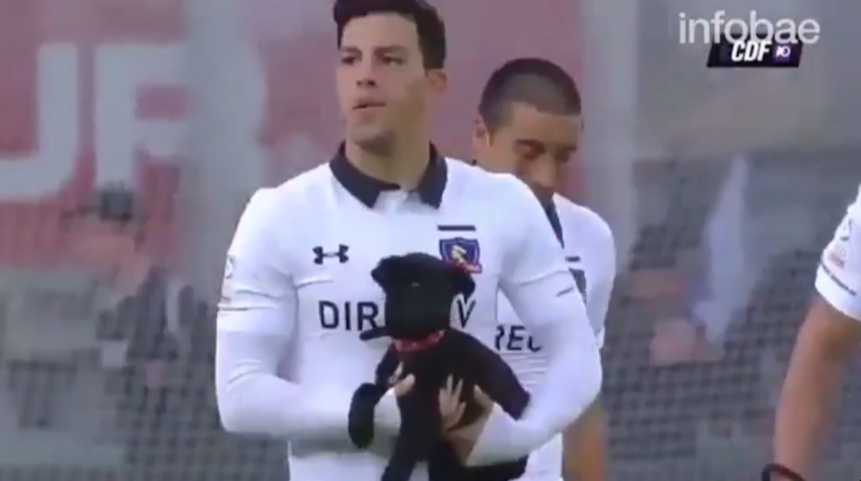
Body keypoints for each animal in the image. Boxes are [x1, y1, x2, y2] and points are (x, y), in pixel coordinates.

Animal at [348, 253, 530, 481]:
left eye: (447, 288)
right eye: (415, 284)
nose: (437, 311)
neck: (416, 344)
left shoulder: (426, 409)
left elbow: (405, 449)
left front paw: (393, 475)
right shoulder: (388, 385)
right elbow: (364, 390)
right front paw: (359, 431)